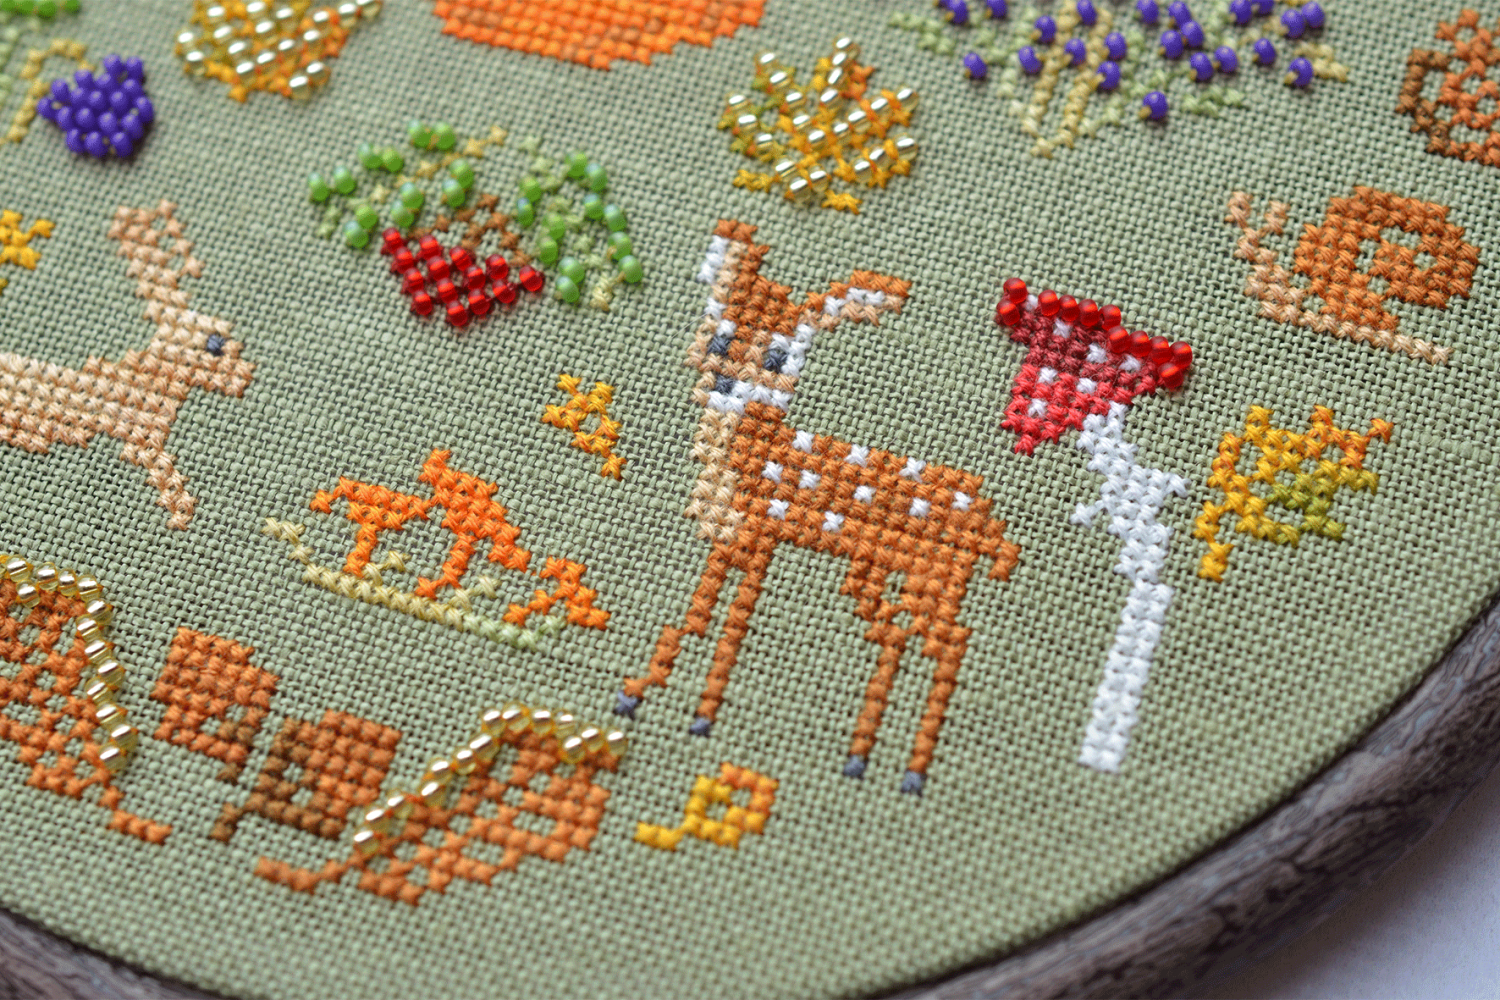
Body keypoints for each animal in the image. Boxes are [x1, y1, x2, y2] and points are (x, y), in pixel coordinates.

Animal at [0, 201, 253, 529]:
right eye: (215, 345)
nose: (246, 375)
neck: (149, 379)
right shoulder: (144, 441)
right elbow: (165, 474)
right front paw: (180, 510)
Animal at [616, 220, 1019, 795]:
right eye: (720, 335)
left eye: (781, 358)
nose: (725, 382)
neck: (745, 452)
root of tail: (987, 520)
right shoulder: (725, 541)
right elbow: (697, 618)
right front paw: (643, 693)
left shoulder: (759, 539)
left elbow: (732, 625)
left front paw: (701, 715)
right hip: (876, 573)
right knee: (895, 634)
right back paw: (860, 756)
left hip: (935, 580)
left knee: (950, 645)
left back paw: (912, 771)